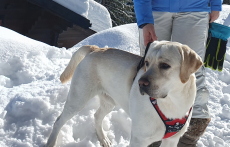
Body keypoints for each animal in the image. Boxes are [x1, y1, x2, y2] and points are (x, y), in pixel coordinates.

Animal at [45, 40, 202, 146]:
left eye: (165, 65)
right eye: (146, 63)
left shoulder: (172, 140)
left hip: (109, 101)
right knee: (58, 121)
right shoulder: (139, 139)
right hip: (78, 99)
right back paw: (51, 142)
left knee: (97, 116)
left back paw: (103, 138)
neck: (172, 103)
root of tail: (96, 48)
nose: (140, 83)